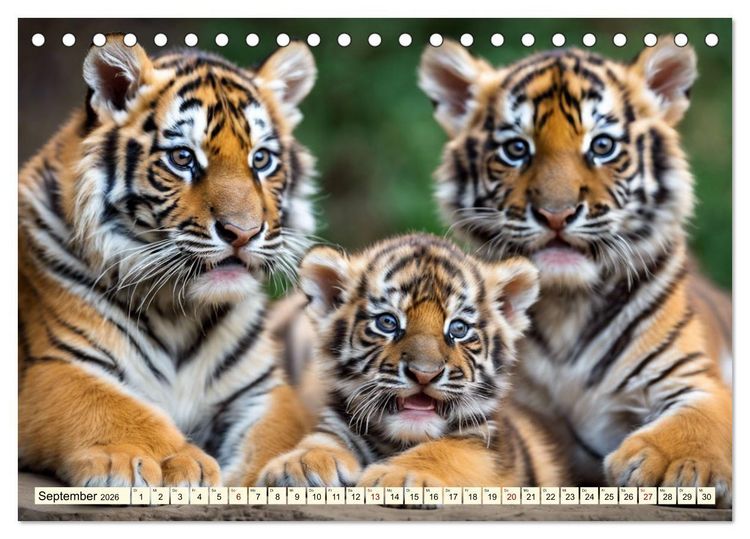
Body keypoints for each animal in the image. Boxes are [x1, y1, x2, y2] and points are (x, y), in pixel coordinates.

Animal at [19, 34, 319, 487]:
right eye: (182, 158)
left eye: (261, 160)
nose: (242, 232)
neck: (179, 312)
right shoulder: (55, 365)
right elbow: (115, 407)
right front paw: (166, 461)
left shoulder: (260, 388)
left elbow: (280, 433)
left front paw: (287, 468)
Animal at [258, 234, 565, 488]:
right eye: (387, 322)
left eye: (458, 328)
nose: (424, 374)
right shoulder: (339, 421)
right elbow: (324, 438)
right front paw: (298, 464)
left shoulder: (490, 447)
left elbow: (448, 451)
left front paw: (398, 475)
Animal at [418, 37, 732, 505]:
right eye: (517, 149)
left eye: (601, 146)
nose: (556, 213)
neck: (566, 306)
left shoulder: (693, 376)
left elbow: (698, 419)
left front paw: (672, 466)